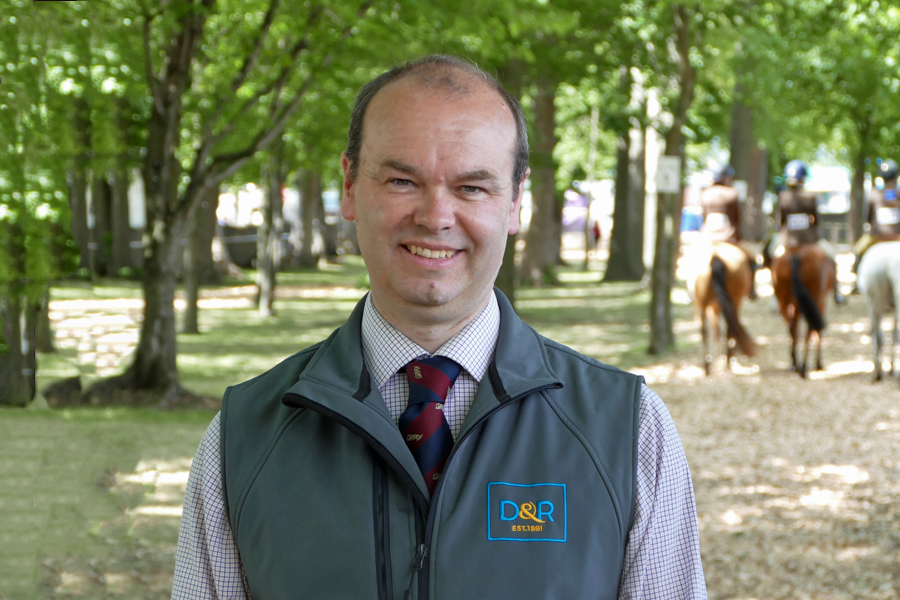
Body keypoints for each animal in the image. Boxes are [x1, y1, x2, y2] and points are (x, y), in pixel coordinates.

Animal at [692, 240, 756, 376]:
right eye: (753, 270)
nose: (753, 294)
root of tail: (715, 257)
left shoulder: (712, 308)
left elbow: (716, 332)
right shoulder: (733, 305)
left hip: (701, 304)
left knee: (704, 332)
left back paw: (707, 366)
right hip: (734, 302)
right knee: (730, 328)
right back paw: (728, 360)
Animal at [768, 243, 836, 376]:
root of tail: (797, 254)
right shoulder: (821, 305)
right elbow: (817, 332)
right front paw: (818, 363)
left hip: (784, 303)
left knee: (792, 329)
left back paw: (795, 364)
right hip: (814, 301)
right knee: (808, 331)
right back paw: (803, 366)